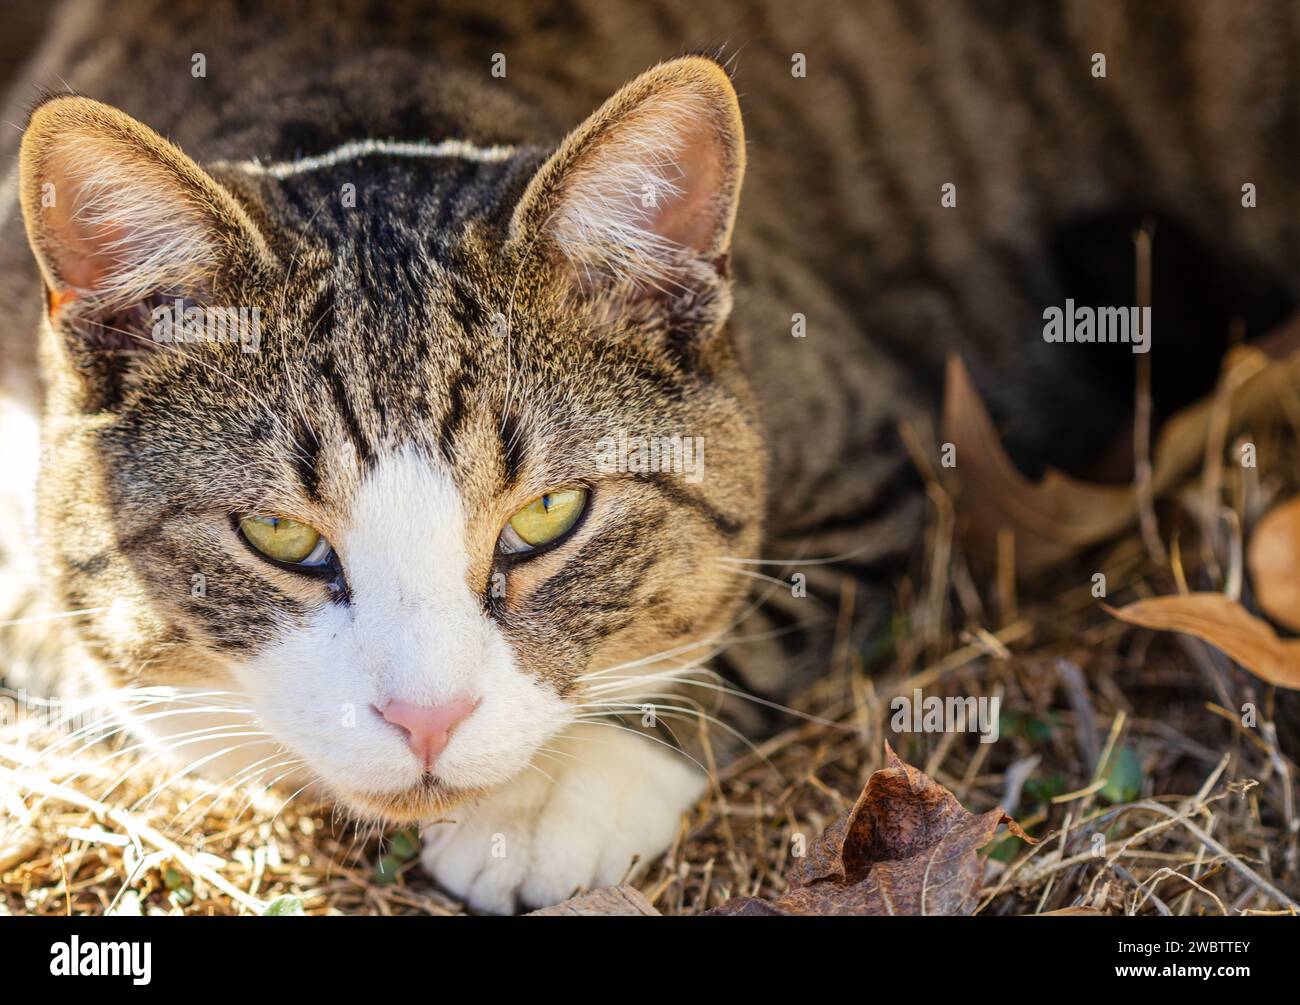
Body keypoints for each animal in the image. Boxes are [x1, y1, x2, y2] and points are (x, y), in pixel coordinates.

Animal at [0, 0, 1294, 915]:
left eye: (548, 516)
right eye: (277, 536)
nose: (426, 719)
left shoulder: (887, 454)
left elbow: (747, 620)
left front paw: (562, 790)